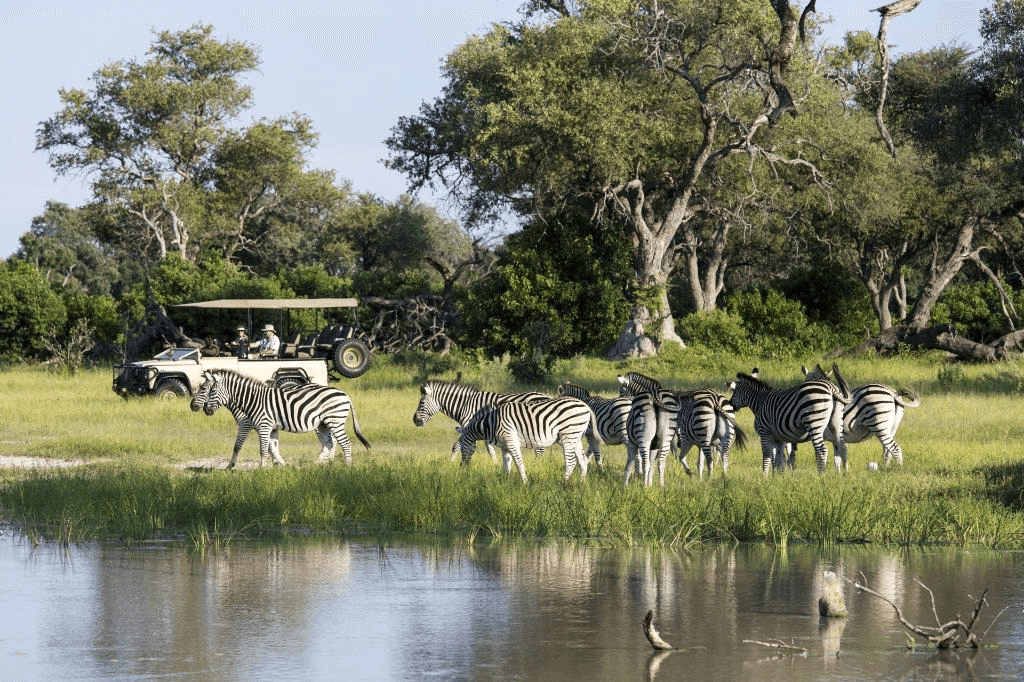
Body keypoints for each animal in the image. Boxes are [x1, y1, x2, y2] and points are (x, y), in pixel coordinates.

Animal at [190, 366, 370, 466]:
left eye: (207, 390)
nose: (198, 408)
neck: (251, 399)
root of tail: (345, 394)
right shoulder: (270, 427)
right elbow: (273, 448)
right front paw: (280, 465)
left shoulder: (255, 425)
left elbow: (253, 448)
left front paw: (257, 469)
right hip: (323, 424)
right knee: (329, 444)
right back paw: (317, 465)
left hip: (334, 421)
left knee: (344, 443)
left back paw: (347, 467)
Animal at [411, 376, 548, 462]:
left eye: (422, 403)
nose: (414, 420)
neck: (464, 405)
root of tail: (547, 396)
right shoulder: (484, 429)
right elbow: (490, 450)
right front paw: (496, 465)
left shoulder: (468, 427)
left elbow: (456, 446)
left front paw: (450, 464)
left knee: (540, 450)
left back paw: (536, 464)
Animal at [454, 393, 593, 483]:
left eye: (461, 448)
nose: (461, 468)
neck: (492, 423)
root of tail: (585, 406)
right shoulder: (504, 446)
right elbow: (507, 465)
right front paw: (506, 482)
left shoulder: (511, 440)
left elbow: (518, 463)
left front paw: (525, 483)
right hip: (576, 437)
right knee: (582, 459)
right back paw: (581, 482)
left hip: (568, 435)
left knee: (571, 461)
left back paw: (564, 483)